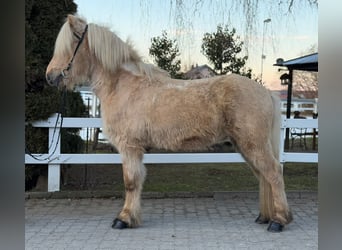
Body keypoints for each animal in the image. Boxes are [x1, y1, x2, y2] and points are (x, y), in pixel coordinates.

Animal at [45, 14, 292, 231]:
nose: (50, 76)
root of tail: (266, 92)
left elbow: (130, 182)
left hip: (253, 145)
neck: (123, 85)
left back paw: (279, 220)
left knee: (273, 173)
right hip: (246, 146)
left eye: (70, 45)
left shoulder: (129, 147)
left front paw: (123, 219)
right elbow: (137, 182)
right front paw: (132, 217)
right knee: (263, 176)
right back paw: (264, 216)